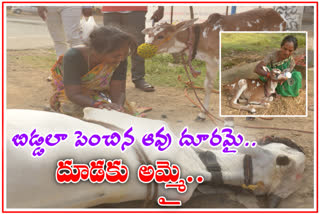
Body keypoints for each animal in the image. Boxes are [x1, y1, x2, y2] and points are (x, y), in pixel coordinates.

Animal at [141, 7, 286, 118]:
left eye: (161, 36)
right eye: (149, 34)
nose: (143, 50)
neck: (202, 43)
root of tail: (282, 19)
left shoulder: (216, 59)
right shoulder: (209, 61)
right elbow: (208, 86)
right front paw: (202, 114)